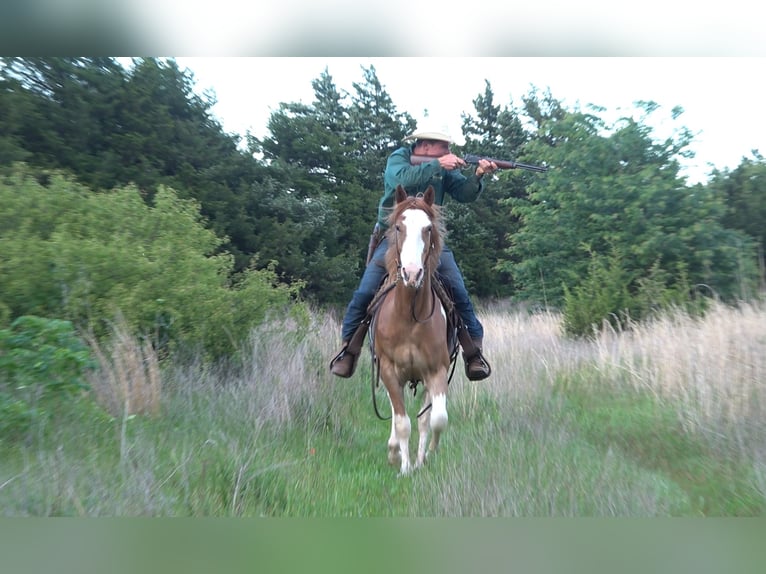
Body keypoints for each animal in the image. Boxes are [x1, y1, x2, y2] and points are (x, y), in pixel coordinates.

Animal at [371, 184, 454, 475]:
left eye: (428, 228)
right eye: (398, 227)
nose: (412, 273)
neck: (408, 317)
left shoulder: (437, 371)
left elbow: (436, 419)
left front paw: (425, 457)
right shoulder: (387, 370)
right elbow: (402, 421)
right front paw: (404, 466)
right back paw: (394, 449)